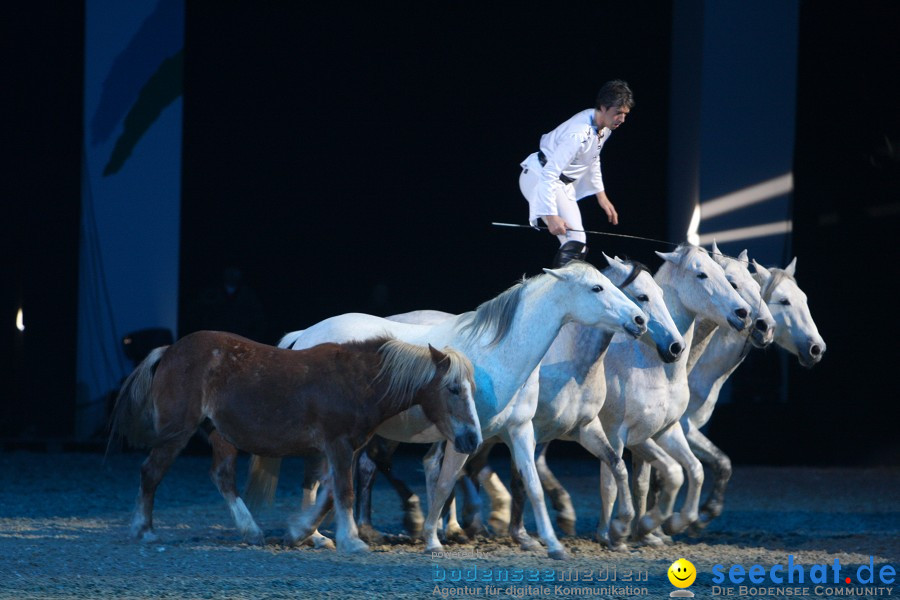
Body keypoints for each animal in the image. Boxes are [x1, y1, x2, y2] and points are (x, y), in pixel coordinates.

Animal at [109, 330, 482, 556]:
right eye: (453, 388)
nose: (473, 439)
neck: (356, 381)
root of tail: (169, 351)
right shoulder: (338, 445)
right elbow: (343, 493)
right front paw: (351, 541)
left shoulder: (344, 448)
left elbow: (329, 495)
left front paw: (302, 532)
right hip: (177, 434)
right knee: (151, 473)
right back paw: (144, 530)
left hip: (219, 435)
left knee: (222, 477)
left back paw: (250, 530)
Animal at [244, 262, 648, 556]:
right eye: (597, 288)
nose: (640, 321)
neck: (498, 356)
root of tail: (305, 335)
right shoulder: (463, 436)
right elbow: (444, 483)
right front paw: (434, 538)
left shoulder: (519, 431)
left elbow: (532, 485)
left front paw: (552, 544)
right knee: (318, 479)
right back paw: (315, 535)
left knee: (336, 479)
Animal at [596, 241, 752, 540]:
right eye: (701, 274)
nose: (744, 314)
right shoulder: (620, 434)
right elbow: (614, 481)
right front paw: (617, 531)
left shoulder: (663, 431)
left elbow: (688, 471)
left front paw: (666, 524)